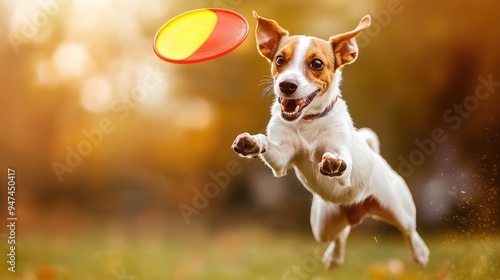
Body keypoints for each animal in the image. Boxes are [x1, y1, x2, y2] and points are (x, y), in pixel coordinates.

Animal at [231, 11, 430, 270]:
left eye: (316, 64)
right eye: (279, 60)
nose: (286, 85)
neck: (307, 122)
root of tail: (357, 211)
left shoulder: (342, 157)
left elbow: (340, 161)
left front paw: (334, 162)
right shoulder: (282, 160)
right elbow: (269, 146)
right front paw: (252, 143)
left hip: (398, 207)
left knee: (409, 230)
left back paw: (420, 253)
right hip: (322, 224)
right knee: (339, 235)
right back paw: (334, 257)